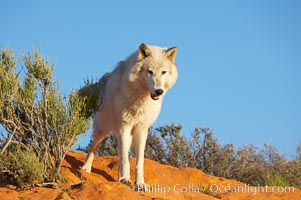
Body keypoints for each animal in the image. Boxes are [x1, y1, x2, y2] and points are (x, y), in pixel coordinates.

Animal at [81, 43, 177, 190]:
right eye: (150, 72)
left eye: (163, 72)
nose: (159, 91)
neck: (141, 98)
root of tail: (104, 77)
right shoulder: (124, 126)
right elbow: (125, 159)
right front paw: (125, 179)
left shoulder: (142, 129)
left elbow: (139, 161)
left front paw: (140, 183)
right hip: (102, 129)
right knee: (94, 146)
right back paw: (86, 168)